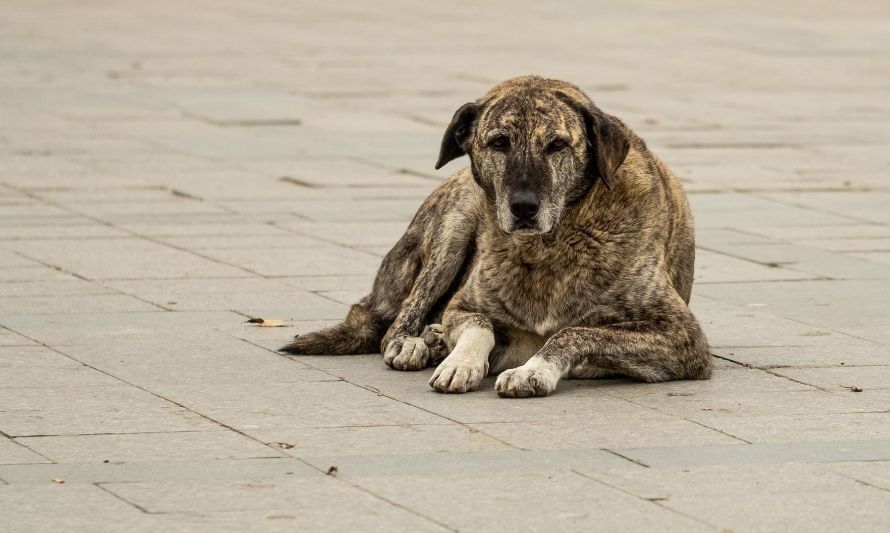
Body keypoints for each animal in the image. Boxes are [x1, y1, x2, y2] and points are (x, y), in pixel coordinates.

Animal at [280, 77, 712, 396]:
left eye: (557, 145)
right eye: (499, 142)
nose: (524, 206)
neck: (548, 248)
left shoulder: (683, 339)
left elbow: (573, 332)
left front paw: (533, 370)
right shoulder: (463, 306)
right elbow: (478, 325)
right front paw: (460, 360)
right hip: (455, 222)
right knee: (395, 324)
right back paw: (416, 341)